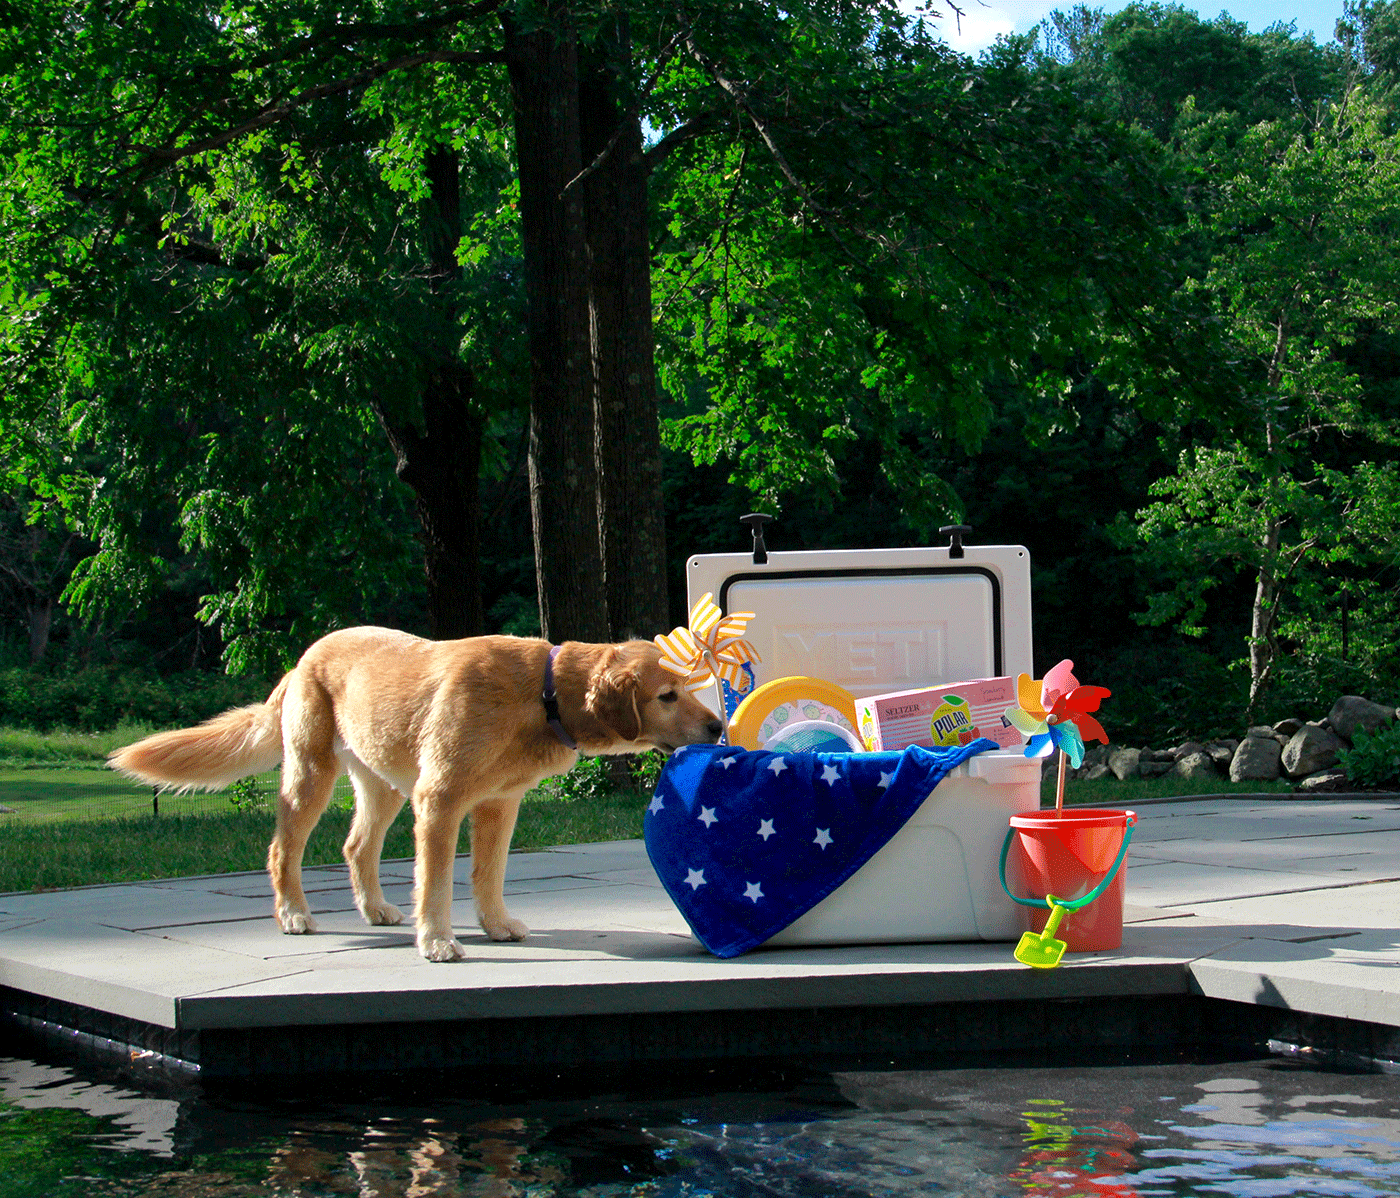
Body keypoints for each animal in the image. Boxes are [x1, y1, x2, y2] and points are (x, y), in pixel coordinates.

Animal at [109, 632, 722, 957]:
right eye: (667, 696)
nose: (718, 726)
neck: (540, 696)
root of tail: (306, 655)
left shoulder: (499, 806)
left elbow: (488, 875)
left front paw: (497, 926)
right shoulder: (440, 801)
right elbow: (437, 884)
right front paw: (438, 943)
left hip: (381, 784)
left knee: (356, 847)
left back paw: (375, 909)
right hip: (312, 776)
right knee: (283, 850)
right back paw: (293, 914)